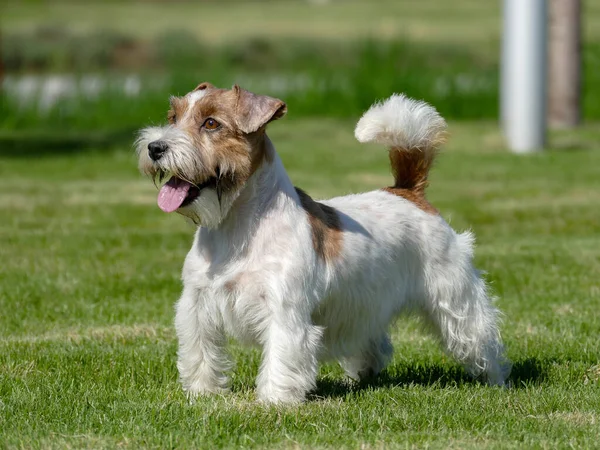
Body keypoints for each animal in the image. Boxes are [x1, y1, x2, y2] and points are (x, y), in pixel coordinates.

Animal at [137, 81, 510, 404]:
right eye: (173, 118)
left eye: (211, 123)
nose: (155, 147)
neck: (236, 228)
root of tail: (408, 192)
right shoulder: (197, 306)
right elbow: (200, 352)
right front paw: (202, 393)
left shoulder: (284, 311)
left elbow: (281, 355)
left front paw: (274, 401)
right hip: (365, 306)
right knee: (375, 344)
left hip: (454, 297)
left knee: (479, 335)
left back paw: (495, 379)